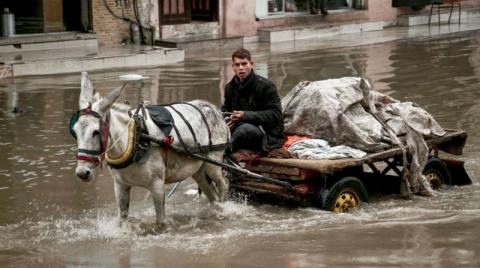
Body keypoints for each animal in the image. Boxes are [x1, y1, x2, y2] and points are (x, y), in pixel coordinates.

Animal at [71, 72, 231, 231]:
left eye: (96, 132)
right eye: (75, 131)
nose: (82, 173)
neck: (135, 140)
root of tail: (215, 109)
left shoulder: (157, 185)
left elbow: (161, 222)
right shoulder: (120, 186)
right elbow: (122, 220)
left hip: (213, 163)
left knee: (224, 184)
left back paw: (224, 211)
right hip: (197, 168)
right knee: (212, 195)